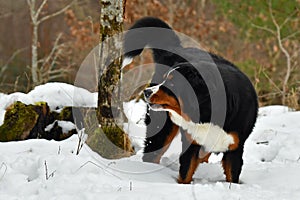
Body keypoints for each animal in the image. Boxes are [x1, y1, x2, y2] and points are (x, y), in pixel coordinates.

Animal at [123, 17, 258, 184]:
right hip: (162, 130)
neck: (208, 114)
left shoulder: (234, 149)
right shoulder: (191, 144)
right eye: (165, 79)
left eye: (172, 83)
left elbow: (232, 178)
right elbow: (185, 173)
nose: (146, 92)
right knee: (152, 155)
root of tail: (174, 49)